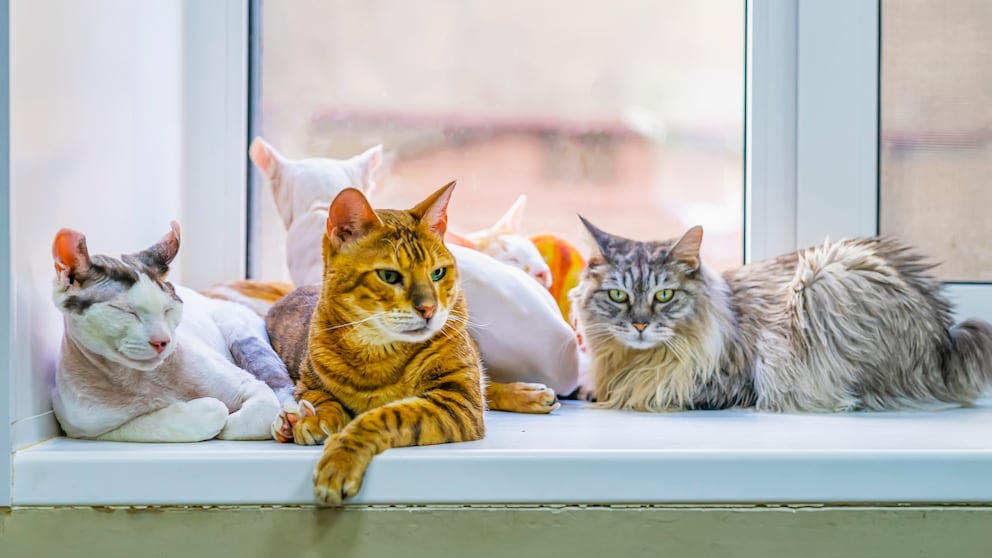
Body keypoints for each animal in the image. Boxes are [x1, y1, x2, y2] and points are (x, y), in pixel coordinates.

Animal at [50, 221, 290, 444]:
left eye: (168, 309)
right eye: (126, 311)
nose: (162, 341)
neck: (142, 380)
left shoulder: (252, 387)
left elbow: (257, 413)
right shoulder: (88, 431)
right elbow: (190, 418)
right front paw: (202, 409)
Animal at [266, 182, 560, 506]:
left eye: (437, 272)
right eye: (388, 275)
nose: (430, 309)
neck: (379, 351)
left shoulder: (457, 402)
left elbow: (385, 416)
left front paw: (342, 456)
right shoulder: (309, 384)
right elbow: (323, 399)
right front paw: (316, 419)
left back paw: (527, 393)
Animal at [568, 219, 992, 412]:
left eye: (665, 295)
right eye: (618, 296)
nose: (639, 325)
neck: (636, 360)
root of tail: (947, 335)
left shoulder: (726, 383)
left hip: (821, 279)